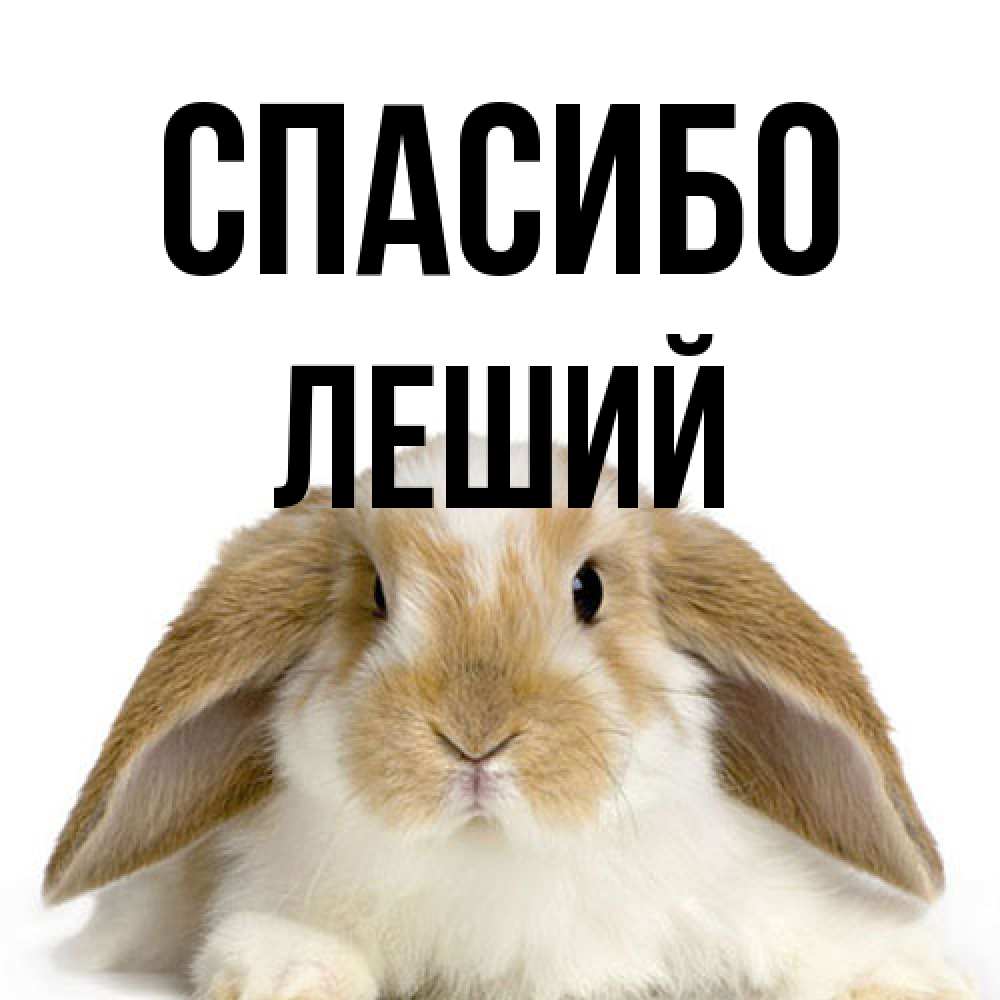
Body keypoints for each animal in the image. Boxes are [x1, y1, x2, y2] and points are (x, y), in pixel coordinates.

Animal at [45, 436, 975, 1000]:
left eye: (589, 589)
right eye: (375, 596)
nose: (475, 737)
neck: (494, 857)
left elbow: (816, 939)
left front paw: (909, 977)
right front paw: (290, 976)